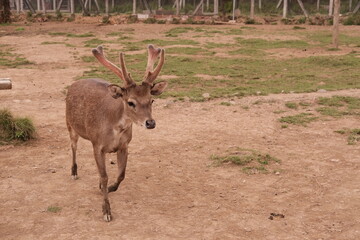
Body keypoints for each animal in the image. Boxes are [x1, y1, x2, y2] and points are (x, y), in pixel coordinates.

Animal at [65, 45, 167, 221]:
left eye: (151, 100)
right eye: (130, 102)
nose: (150, 123)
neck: (114, 128)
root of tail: (74, 83)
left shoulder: (124, 145)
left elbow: (121, 174)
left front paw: (110, 187)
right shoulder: (97, 145)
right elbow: (104, 176)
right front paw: (106, 211)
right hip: (69, 124)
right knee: (73, 146)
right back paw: (74, 172)